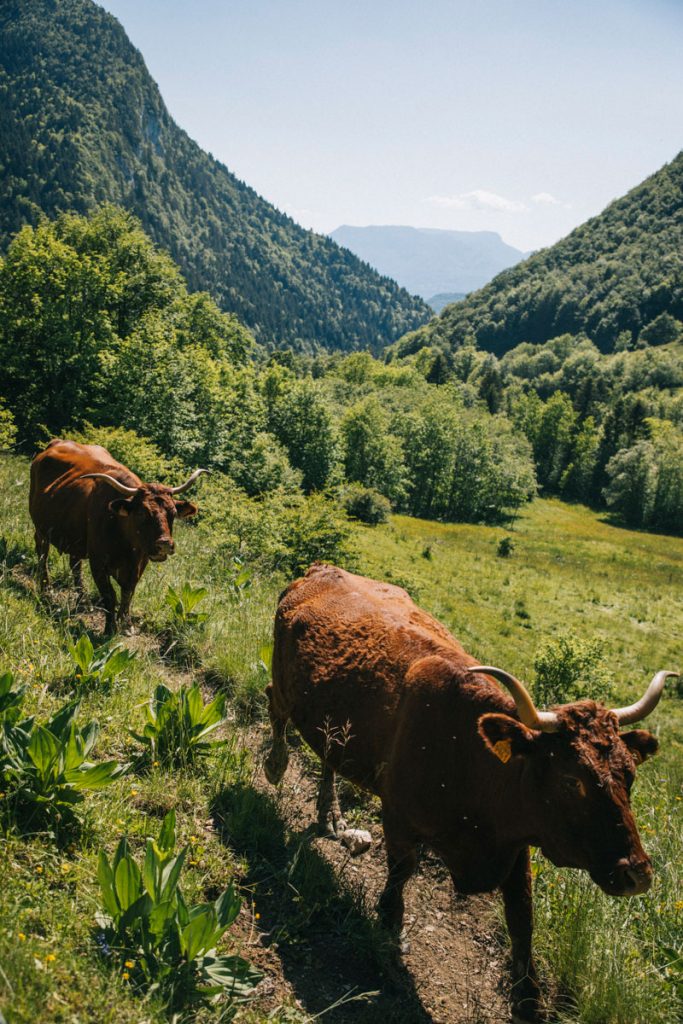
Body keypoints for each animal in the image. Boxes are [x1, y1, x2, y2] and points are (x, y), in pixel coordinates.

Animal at [29, 439, 208, 633]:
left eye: (173, 513)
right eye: (141, 513)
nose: (165, 544)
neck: (126, 545)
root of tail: (57, 442)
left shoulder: (139, 563)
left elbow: (128, 592)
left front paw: (126, 623)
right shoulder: (98, 563)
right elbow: (110, 596)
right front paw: (110, 628)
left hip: (75, 539)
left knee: (75, 565)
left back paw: (83, 600)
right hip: (41, 529)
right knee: (43, 555)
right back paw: (46, 589)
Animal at [264, 563, 677, 1023]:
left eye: (630, 776)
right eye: (573, 780)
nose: (638, 874)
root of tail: (322, 570)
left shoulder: (516, 845)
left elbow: (522, 918)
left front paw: (528, 999)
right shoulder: (399, 818)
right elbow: (400, 876)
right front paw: (389, 933)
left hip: (334, 728)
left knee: (328, 760)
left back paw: (330, 816)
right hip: (284, 685)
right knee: (274, 706)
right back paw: (276, 765)